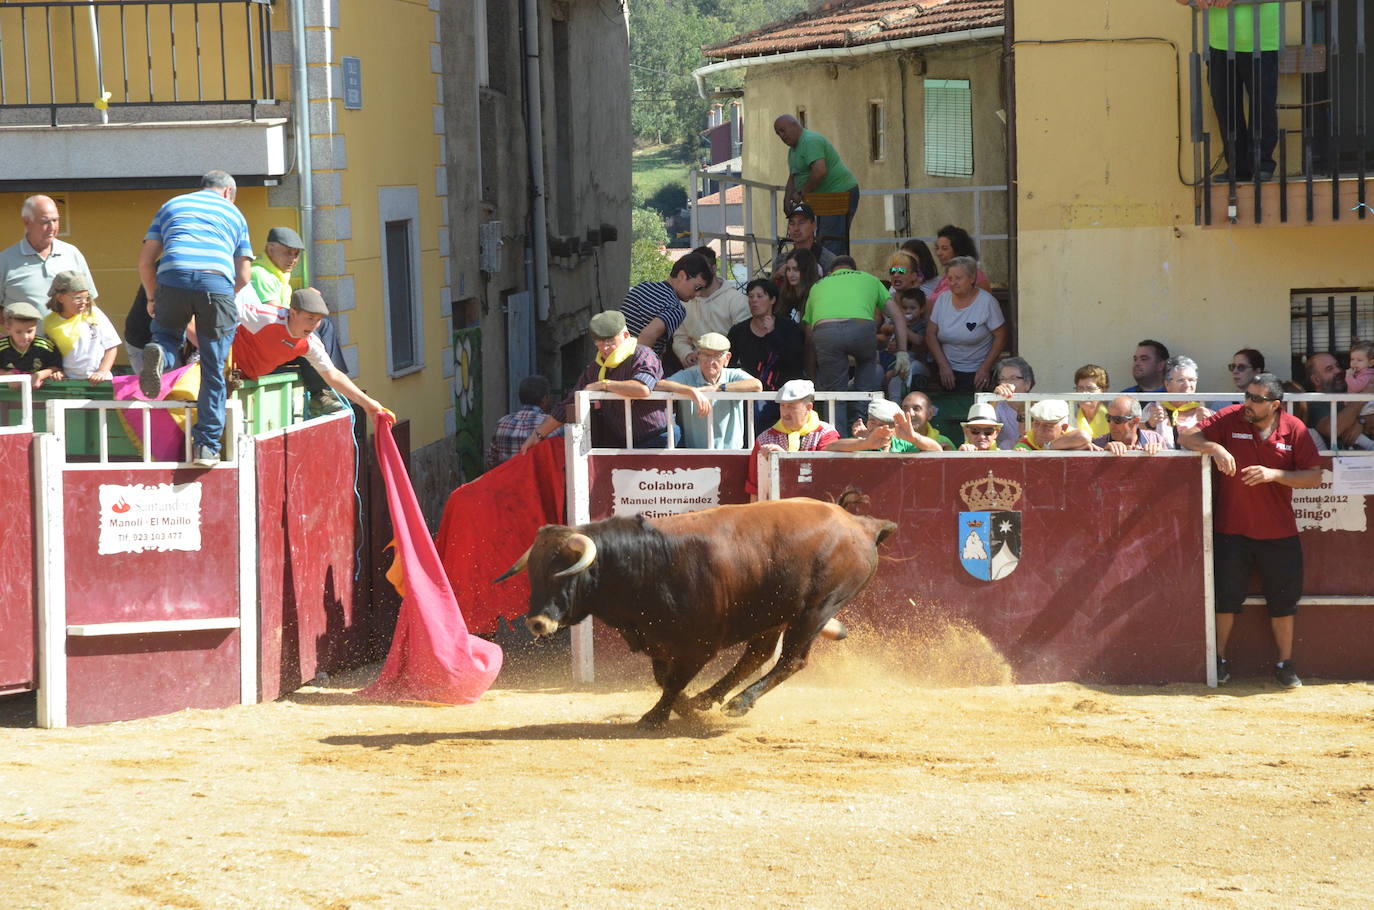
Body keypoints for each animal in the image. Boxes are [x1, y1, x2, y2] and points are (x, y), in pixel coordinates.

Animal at [500, 494, 895, 731]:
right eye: (533, 574)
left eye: (565, 572)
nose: (537, 622)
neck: (648, 561)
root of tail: (860, 524)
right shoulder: (659, 641)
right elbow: (666, 680)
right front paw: (688, 709)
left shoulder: (698, 646)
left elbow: (674, 681)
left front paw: (656, 717)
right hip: (774, 612)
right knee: (758, 654)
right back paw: (711, 698)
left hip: (816, 609)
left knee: (790, 660)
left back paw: (740, 702)